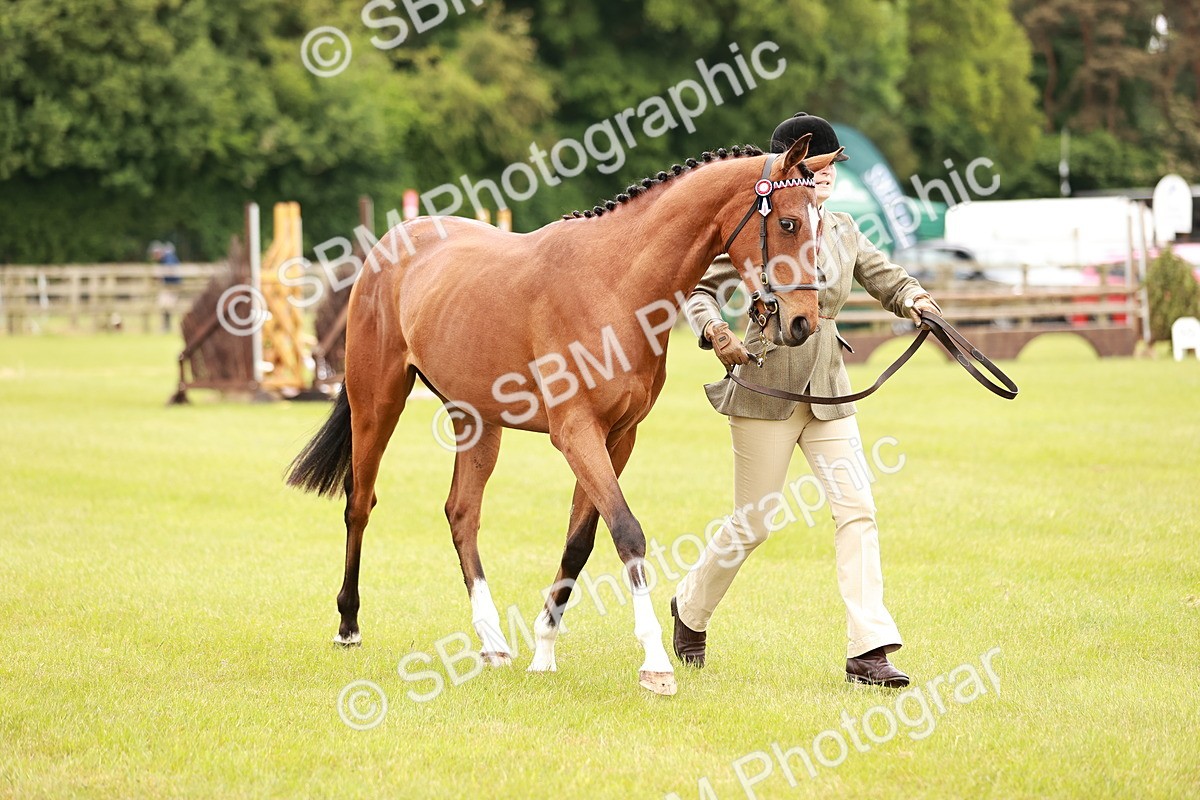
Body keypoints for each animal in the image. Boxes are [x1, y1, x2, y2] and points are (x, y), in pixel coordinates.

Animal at [286, 134, 838, 696]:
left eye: (820, 224)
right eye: (789, 223)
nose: (802, 322)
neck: (615, 286)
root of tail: (389, 244)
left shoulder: (618, 437)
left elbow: (581, 541)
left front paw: (545, 650)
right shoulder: (576, 433)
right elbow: (627, 531)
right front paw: (656, 662)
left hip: (477, 421)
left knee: (462, 514)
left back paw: (492, 640)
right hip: (376, 402)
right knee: (360, 503)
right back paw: (349, 625)